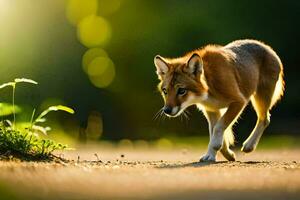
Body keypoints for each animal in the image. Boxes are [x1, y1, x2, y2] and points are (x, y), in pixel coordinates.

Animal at [155, 38, 284, 161]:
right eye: (165, 91)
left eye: (181, 91)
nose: (166, 110)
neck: (210, 84)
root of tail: (266, 47)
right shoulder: (212, 110)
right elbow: (216, 134)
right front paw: (219, 154)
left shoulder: (238, 101)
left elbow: (218, 129)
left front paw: (216, 149)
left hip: (261, 97)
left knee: (265, 119)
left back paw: (249, 145)